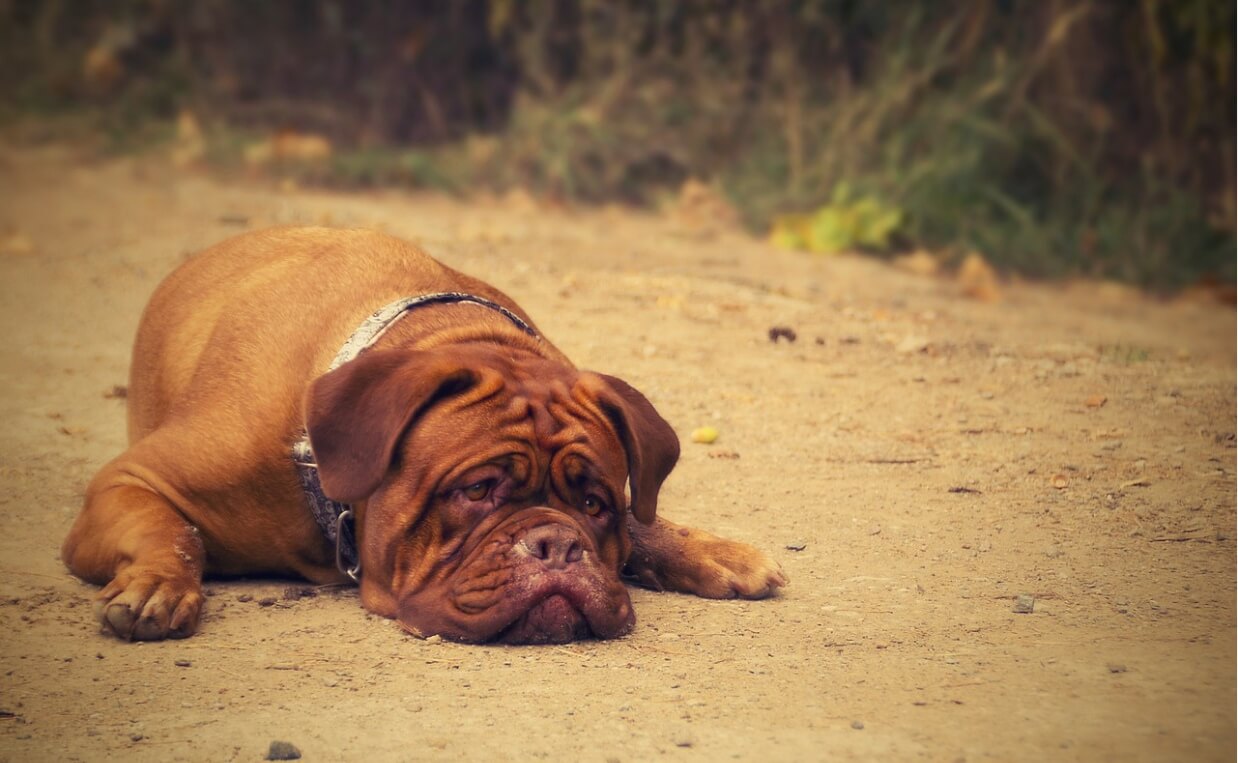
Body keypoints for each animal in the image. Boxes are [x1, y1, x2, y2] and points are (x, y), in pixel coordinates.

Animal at [60, 227, 782, 644]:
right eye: (477, 490)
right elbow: (172, 530)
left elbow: (643, 520)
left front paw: (707, 549)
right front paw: (158, 584)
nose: (556, 544)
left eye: (594, 504)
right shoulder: (129, 481)